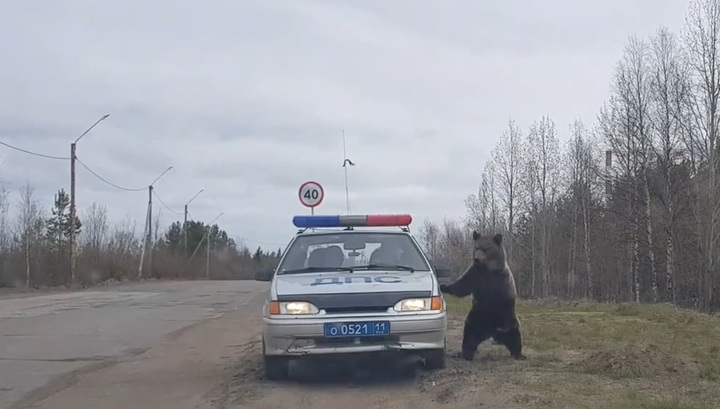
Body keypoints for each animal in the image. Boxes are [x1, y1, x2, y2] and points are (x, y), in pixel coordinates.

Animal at [439, 231, 526, 361]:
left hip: (507, 318)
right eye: (476, 247)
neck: (488, 269)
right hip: (477, 319)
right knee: (470, 336)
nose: (476, 259)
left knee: (514, 335)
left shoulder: (500, 280)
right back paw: (466, 354)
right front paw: (443, 286)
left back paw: (519, 354)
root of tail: (493, 332)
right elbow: (462, 286)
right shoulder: (475, 275)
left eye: (486, 248)